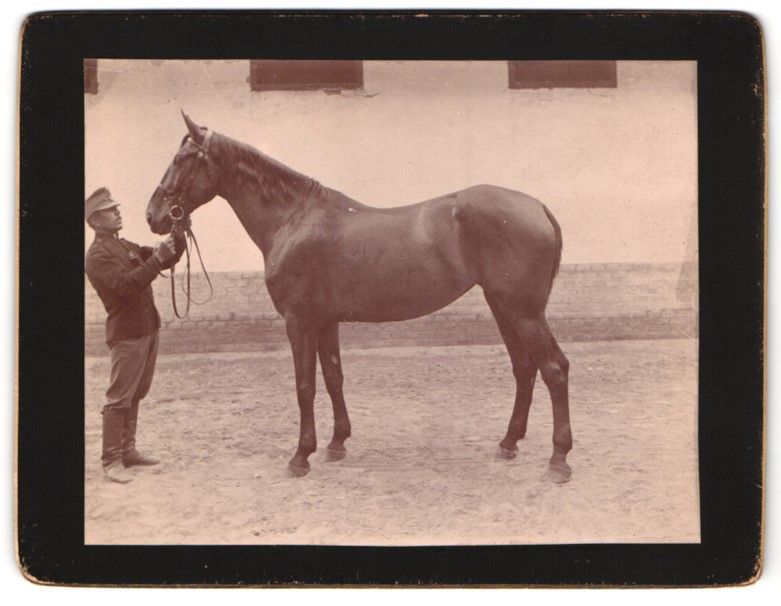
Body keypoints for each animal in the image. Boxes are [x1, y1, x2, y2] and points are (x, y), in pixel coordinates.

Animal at [147, 113, 573, 483]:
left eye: (182, 159)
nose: (153, 215)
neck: (293, 219)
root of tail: (537, 207)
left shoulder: (298, 320)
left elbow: (305, 385)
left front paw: (300, 456)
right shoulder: (326, 321)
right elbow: (333, 377)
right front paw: (336, 443)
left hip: (523, 311)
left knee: (553, 368)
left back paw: (558, 460)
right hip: (502, 305)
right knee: (524, 367)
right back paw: (509, 443)